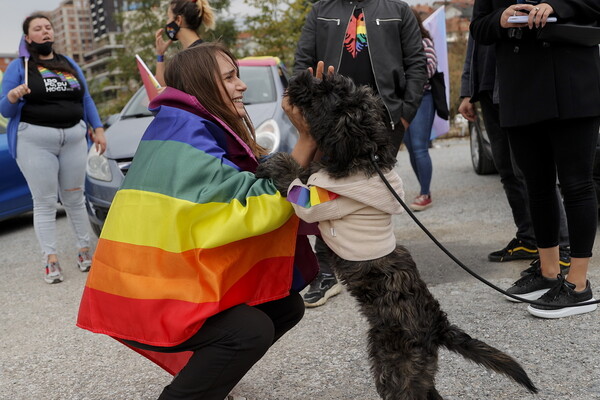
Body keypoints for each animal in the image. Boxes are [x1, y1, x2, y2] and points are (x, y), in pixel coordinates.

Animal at [254, 70, 540, 398]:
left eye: (325, 92)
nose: (299, 76)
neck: (363, 157)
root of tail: (437, 326)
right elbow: (308, 171)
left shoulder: (317, 204)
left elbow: (297, 183)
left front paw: (277, 162)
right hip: (415, 367)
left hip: (393, 366)